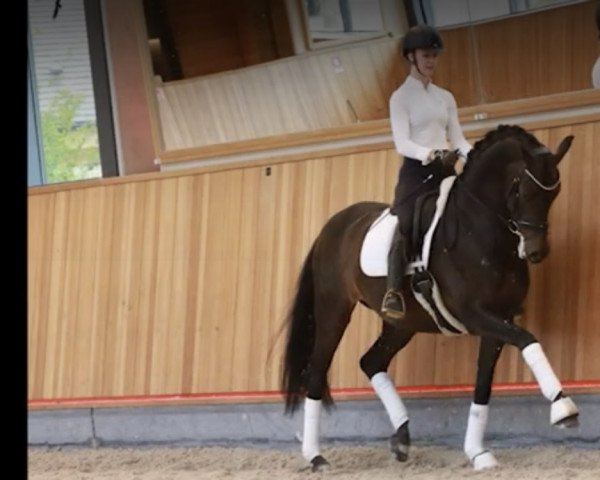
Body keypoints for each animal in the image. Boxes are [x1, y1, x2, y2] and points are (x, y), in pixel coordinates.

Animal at [278, 124, 580, 472]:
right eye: (522, 191)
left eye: (554, 193)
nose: (536, 252)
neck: (481, 231)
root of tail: (332, 226)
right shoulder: (474, 314)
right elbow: (529, 340)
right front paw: (563, 407)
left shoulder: (498, 320)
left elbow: (484, 383)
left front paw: (478, 453)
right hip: (334, 311)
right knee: (316, 373)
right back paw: (317, 457)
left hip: (402, 323)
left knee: (371, 362)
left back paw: (402, 439)